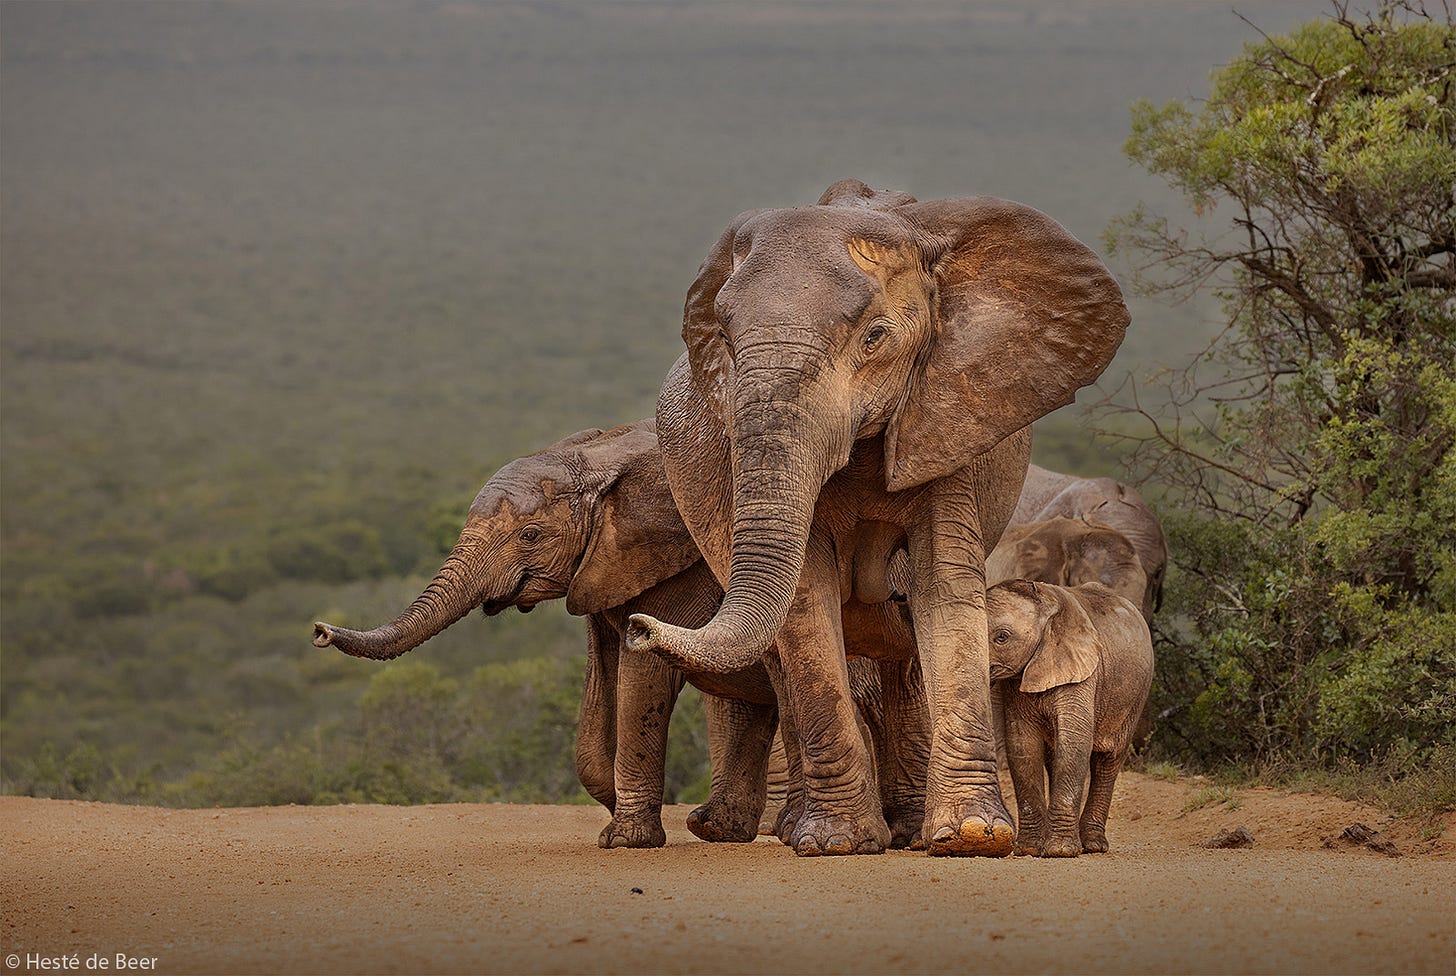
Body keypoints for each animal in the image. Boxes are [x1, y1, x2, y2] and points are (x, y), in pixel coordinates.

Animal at [626, 181, 1124, 856]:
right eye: (724, 342)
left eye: (875, 337)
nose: (637, 626)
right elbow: (806, 601)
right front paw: (836, 841)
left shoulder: (947, 416)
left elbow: (945, 587)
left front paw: (972, 837)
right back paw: (801, 827)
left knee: (905, 656)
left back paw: (909, 829)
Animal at [984, 582, 1153, 856]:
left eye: (1002, 637)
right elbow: (1023, 745)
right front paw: (1029, 850)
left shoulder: (1083, 673)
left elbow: (1075, 742)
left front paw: (1059, 851)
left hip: (1134, 696)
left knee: (1108, 761)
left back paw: (1093, 845)